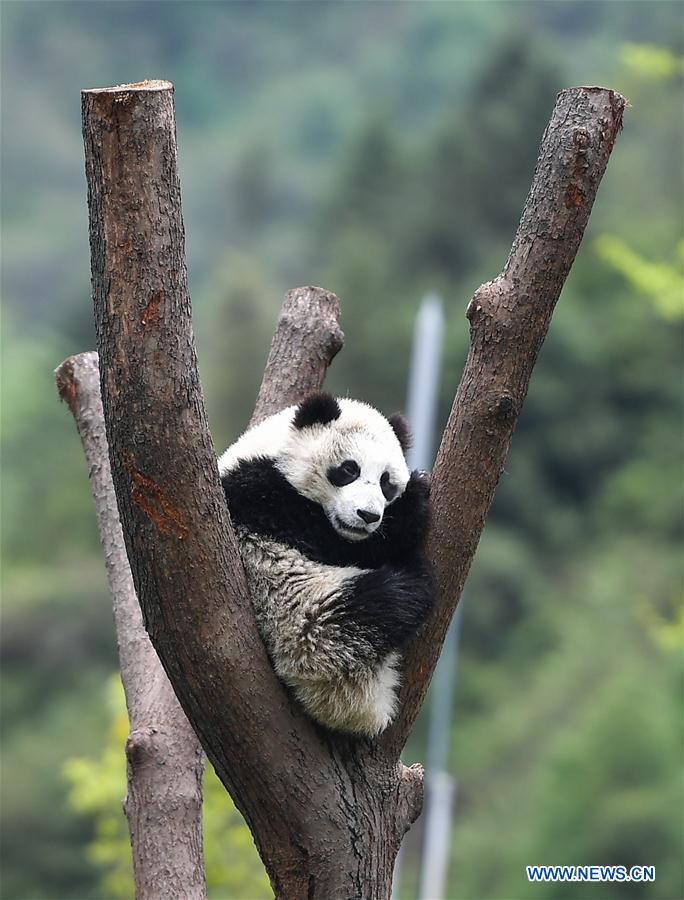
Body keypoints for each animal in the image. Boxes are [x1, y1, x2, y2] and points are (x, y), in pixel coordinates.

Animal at [218, 392, 435, 737]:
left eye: (386, 482)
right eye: (349, 469)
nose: (368, 515)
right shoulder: (259, 493)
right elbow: (334, 542)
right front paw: (415, 498)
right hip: (309, 622)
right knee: (387, 599)